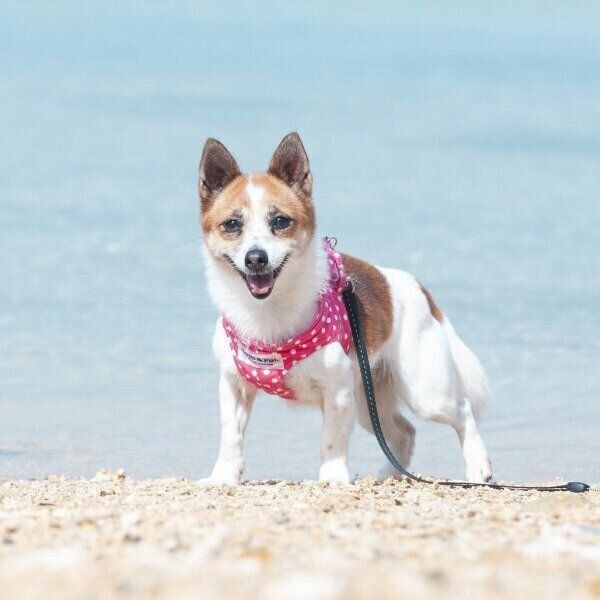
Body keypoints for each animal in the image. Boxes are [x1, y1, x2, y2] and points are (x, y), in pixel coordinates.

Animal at [197, 132, 492, 488]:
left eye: (280, 221)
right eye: (232, 225)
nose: (256, 258)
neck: (268, 313)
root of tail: (418, 287)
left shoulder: (337, 391)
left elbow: (331, 440)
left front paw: (333, 478)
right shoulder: (234, 386)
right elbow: (231, 437)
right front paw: (223, 477)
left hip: (425, 392)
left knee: (462, 411)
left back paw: (478, 467)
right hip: (369, 399)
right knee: (404, 432)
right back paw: (388, 476)